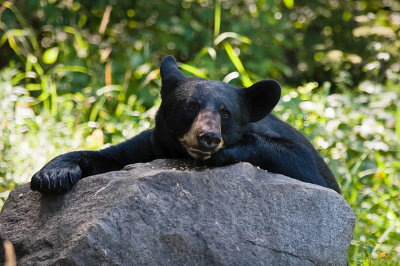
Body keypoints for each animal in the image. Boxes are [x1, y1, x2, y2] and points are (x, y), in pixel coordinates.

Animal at [31, 55, 340, 193]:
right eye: (191, 105)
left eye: (226, 113)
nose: (208, 137)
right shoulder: (151, 145)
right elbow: (110, 156)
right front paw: (53, 174)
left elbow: (310, 168)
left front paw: (225, 152)